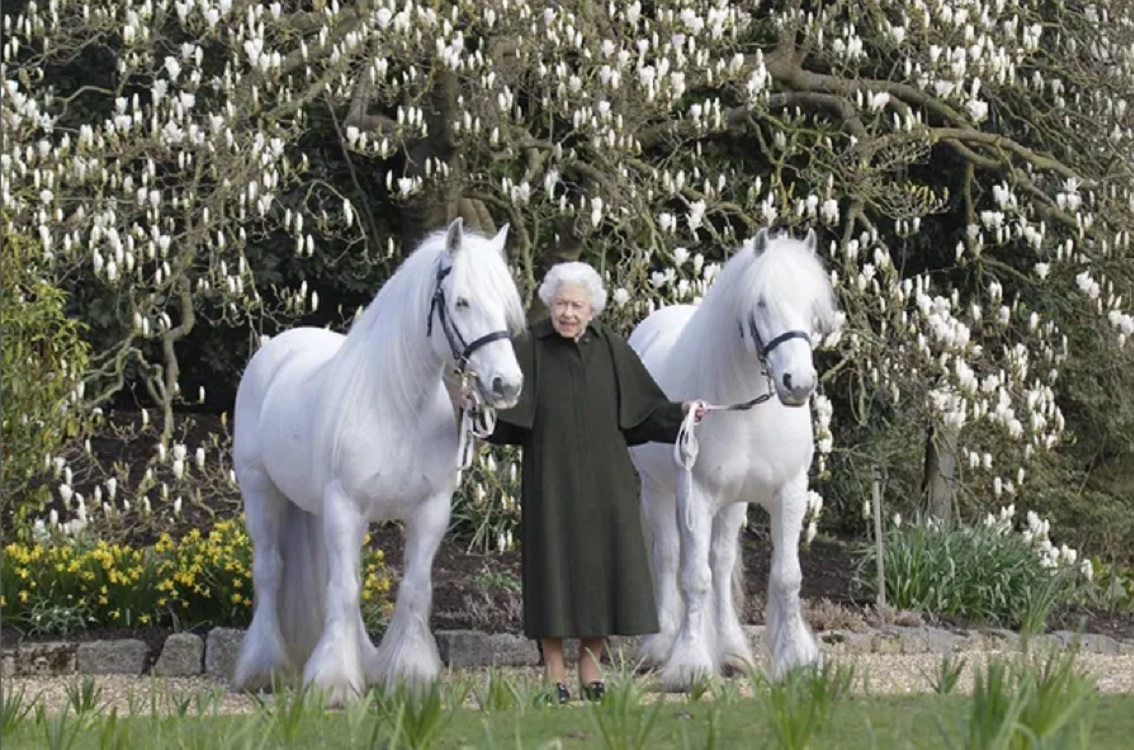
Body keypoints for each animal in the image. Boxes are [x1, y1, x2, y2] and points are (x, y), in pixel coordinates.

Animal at [231, 217, 530, 708]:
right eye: (462, 301)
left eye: (506, 305)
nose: (506, 385)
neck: (397, 405)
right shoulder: (346, 507)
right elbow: (343, 590)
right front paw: (333, 684)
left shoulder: (430, 511)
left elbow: (412, 589)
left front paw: (408, 676)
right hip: (261, 492)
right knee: (270, 571)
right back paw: (263, 669)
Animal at [630, 226, 843, 689]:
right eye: (761, 302)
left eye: (812, 306)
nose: (798, 383)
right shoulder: (695, 496)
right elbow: (694, 579)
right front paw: (689, 665)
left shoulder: (789, 493)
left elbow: (785, 577)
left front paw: (796, 660)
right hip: (658, 491)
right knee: (669, 557)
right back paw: (661, 647)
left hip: (733, 503)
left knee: (721, 559)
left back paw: (731, 652)